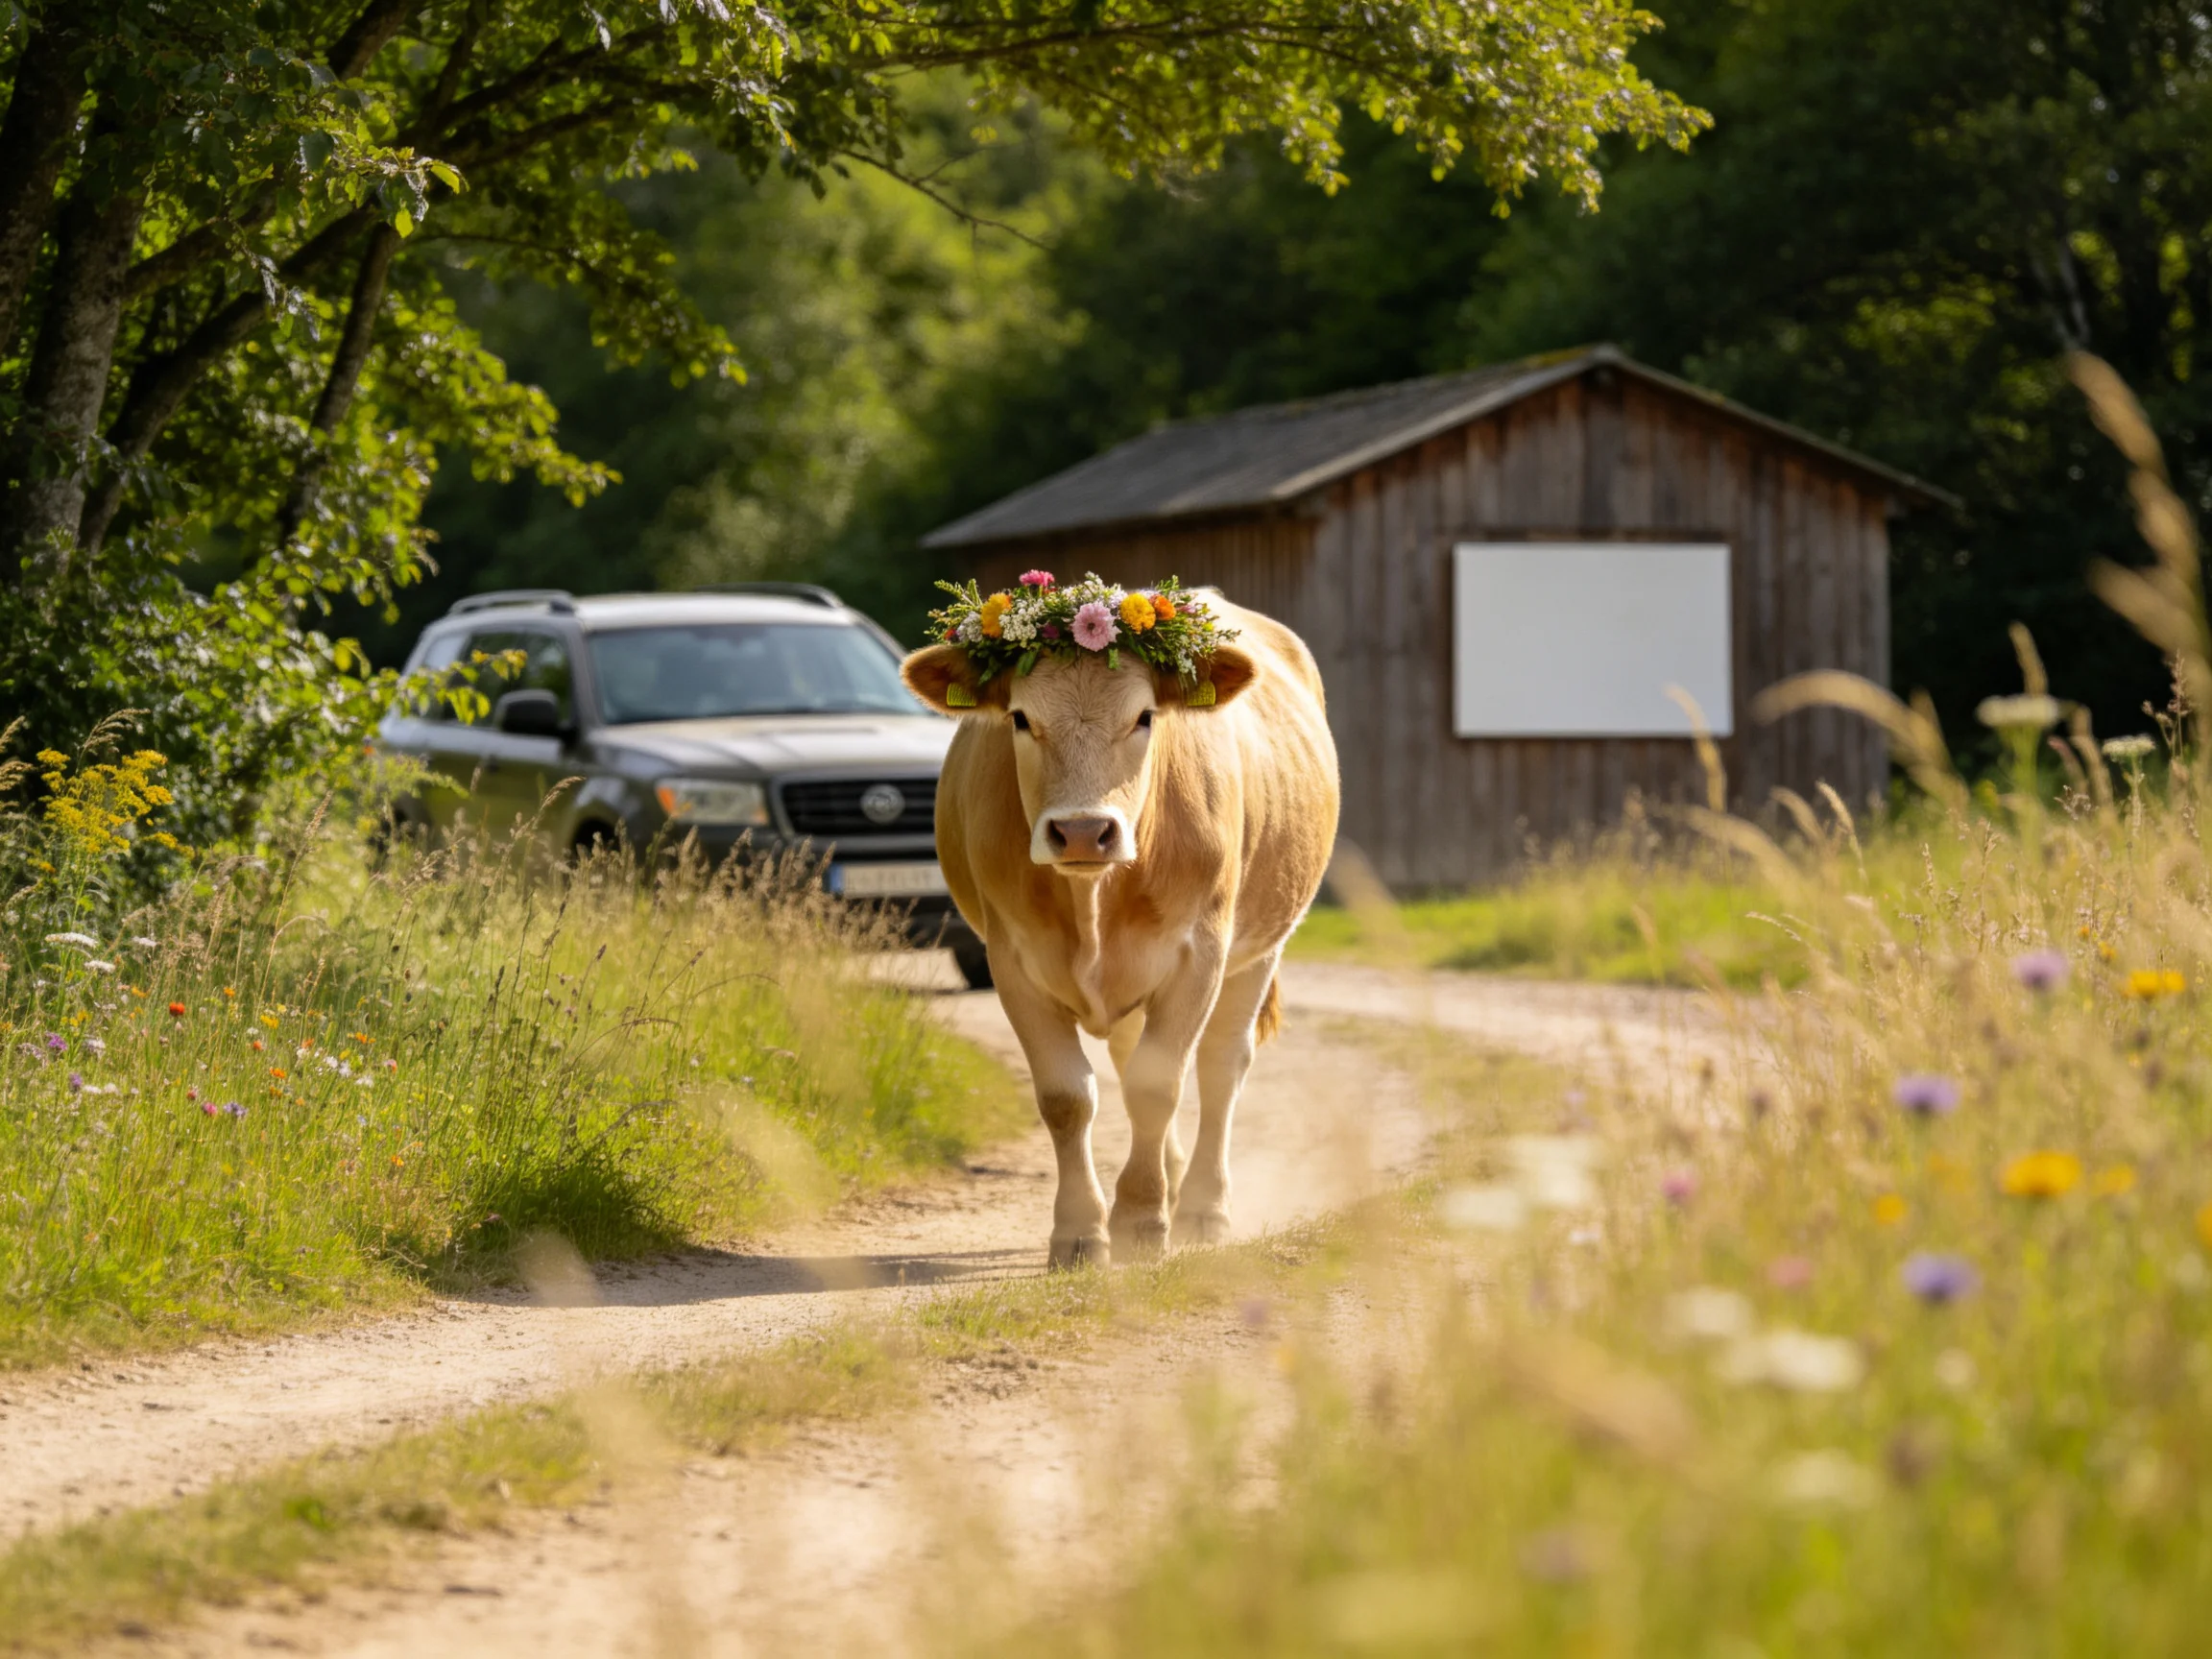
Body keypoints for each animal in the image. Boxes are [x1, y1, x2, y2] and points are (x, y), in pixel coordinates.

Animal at [902, 593, 1339, 1266]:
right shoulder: (1012, 961)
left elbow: (1157, 1085)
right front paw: (1081, 1232)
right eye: (1021, 718)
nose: (1083, 831)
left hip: (1262, 945)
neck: (1093, 899)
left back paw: (1202, 1206)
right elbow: (1067, 1097)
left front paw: (1140, 1222)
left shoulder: (1197, 955)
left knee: (1220, 1065)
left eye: (1144, 717)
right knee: (1134, 1053)